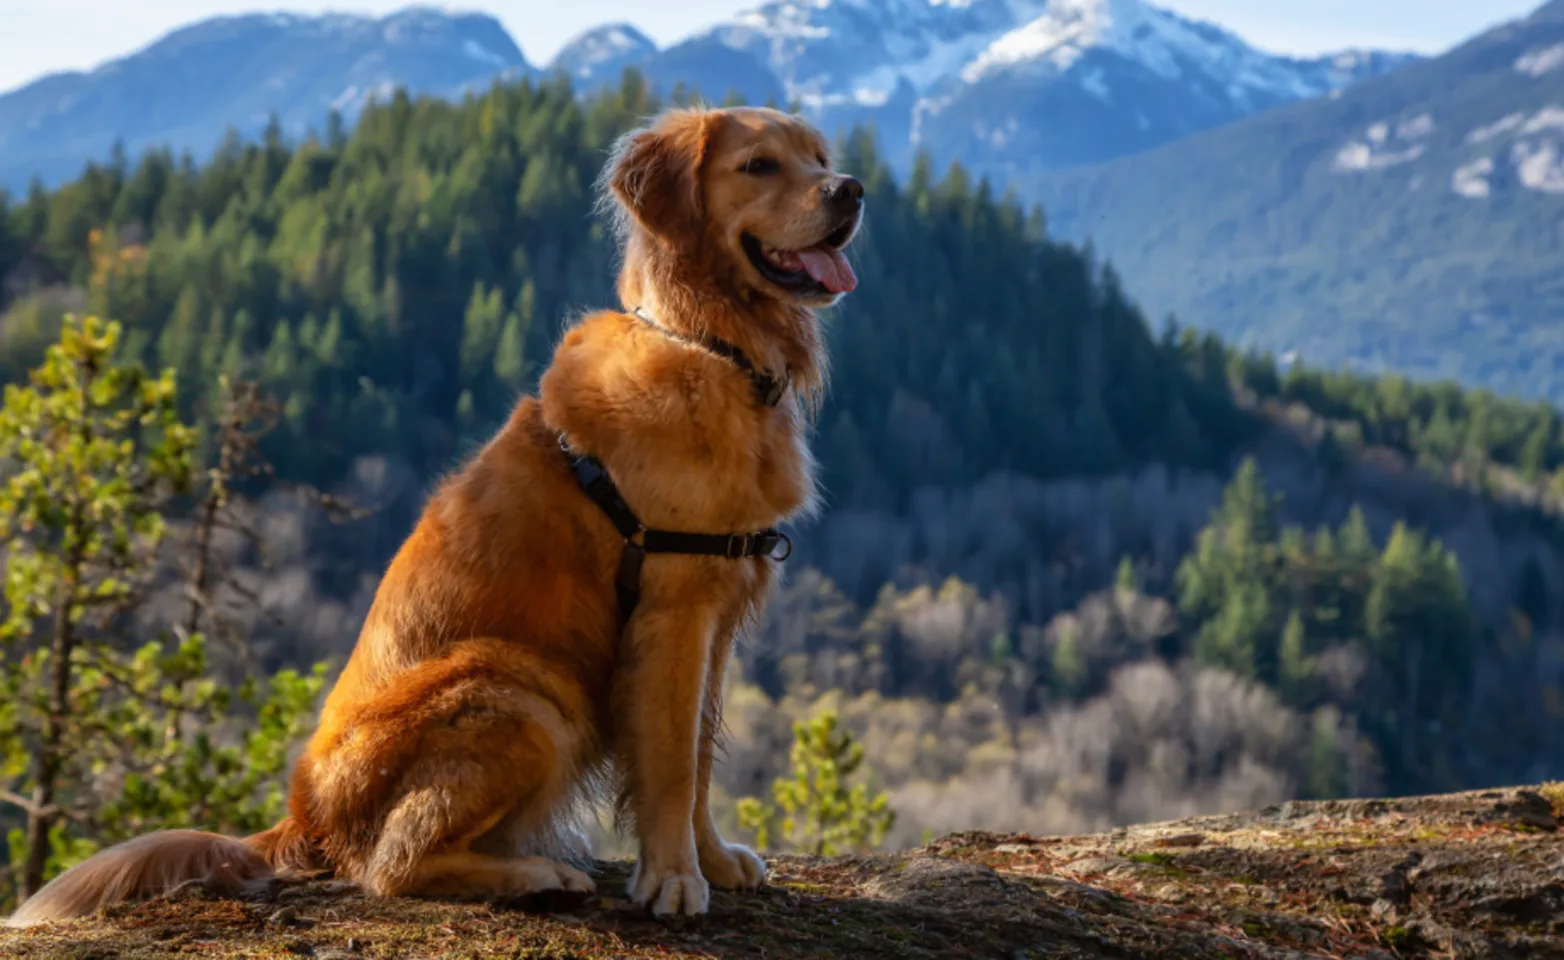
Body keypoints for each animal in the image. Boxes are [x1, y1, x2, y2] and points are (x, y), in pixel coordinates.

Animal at [6, 103, 863, 925]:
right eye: (759, 165)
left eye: (819, 158)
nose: (850, 190)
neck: (710, 345)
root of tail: (304, 817)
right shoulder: (673, 608)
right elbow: (673, 764)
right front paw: (674, 881)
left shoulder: (716, 611)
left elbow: (703, 755)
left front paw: (711, 859)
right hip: (521, 688)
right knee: (392, 866)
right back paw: (536, 876)